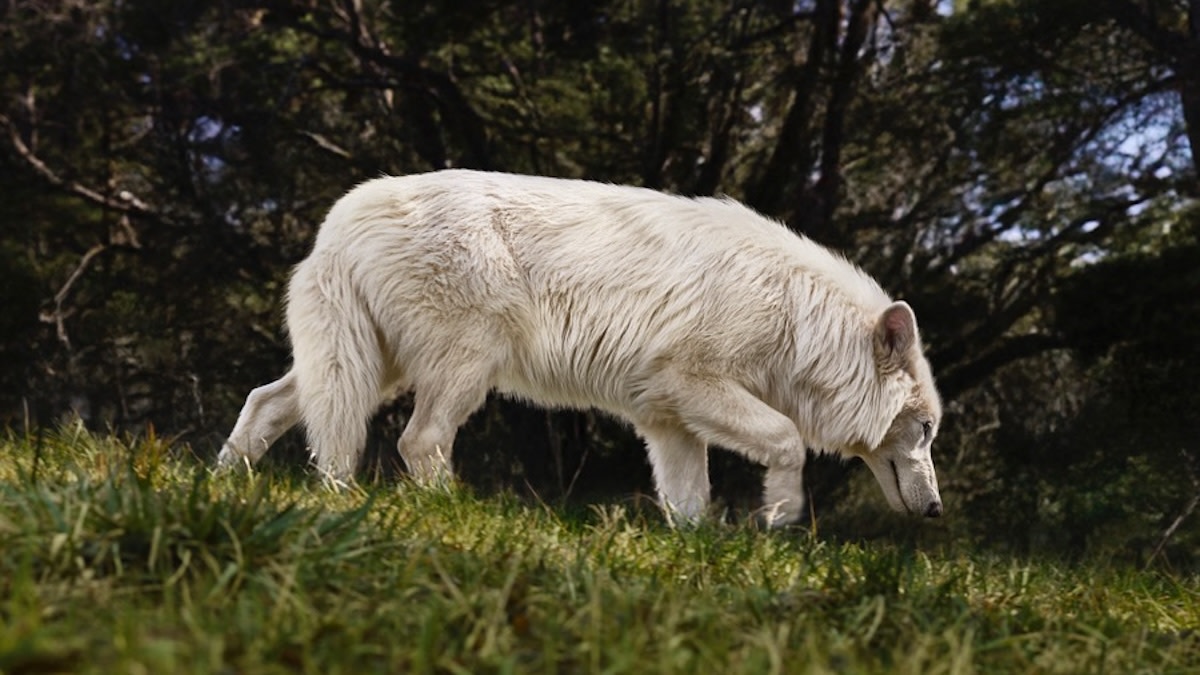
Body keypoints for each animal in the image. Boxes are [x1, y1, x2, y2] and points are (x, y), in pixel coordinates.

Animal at [218, 170, 943, 526]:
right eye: (928, 429)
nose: (937, 508)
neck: (797, 317)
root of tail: (340, 219)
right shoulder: (695, 382)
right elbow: (789, 440)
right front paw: (782, 516)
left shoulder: (667, 420)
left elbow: (691, 505)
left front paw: (699, 557)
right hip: (462, 369)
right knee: (416, 441)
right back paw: (451, 508)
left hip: (367, 368)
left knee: (267, 403)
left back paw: (233, 484)